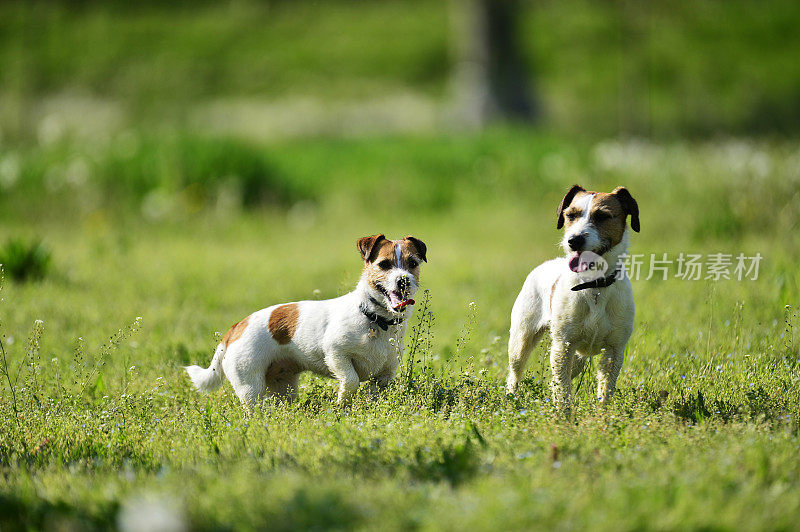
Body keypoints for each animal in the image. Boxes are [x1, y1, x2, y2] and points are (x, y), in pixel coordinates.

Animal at [185, 233, 428, 408]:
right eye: (384, 264)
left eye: (413, 263)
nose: (404, 280)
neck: (376, 319)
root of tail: (235, 328)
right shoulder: (336, 354)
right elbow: (350, 380)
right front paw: (342, 404)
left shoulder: (384, 376)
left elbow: (375, 394)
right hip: (250, 386)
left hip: (283, 389)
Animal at [510, 185, 640, 414]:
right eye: (570, 215)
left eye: (603, 216)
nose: (574, 240)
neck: (594, 285)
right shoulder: (563, 346)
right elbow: (563, 390)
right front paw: (564, 416)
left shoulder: (614, 351)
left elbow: (605, 389)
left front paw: (604, 416)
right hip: (521, 339)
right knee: (515, 373)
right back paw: (510, 399)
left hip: (579, 358)